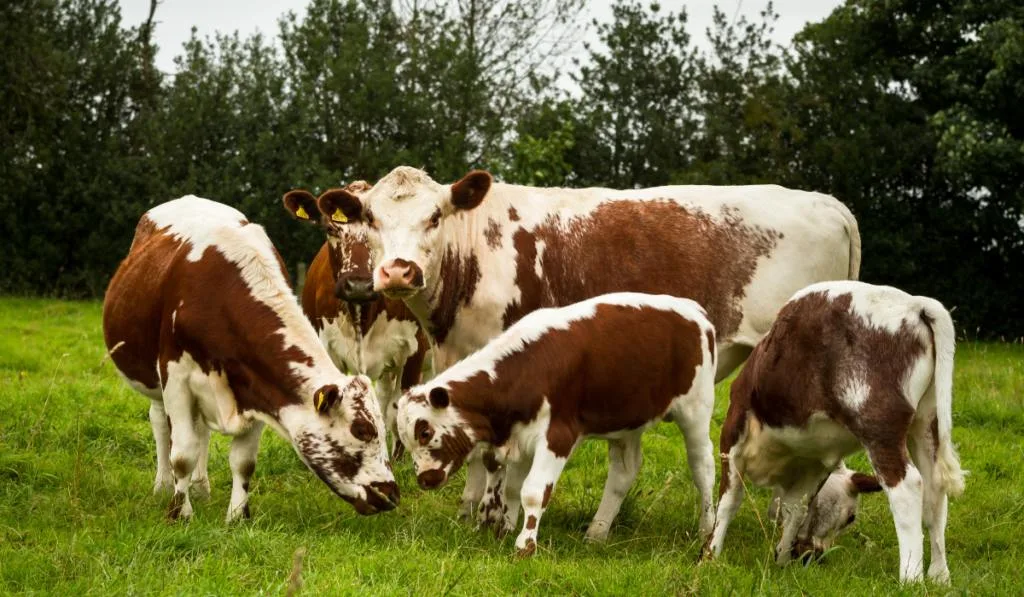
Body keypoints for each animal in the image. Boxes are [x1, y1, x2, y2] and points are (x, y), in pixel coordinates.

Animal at [102, 197, 399, 524]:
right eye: (362, 430)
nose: (391, 493)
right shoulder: (176, 377)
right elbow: (182, 453)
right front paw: (180, 513)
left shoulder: (259, 387)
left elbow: (243, 461)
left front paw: (237, 516)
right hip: (153, 380)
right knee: (160, 423)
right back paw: (164, 485)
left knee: (201, 430)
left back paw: (201, 487)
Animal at [307, 164, 860, 524]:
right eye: (370, 220)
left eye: (436, 216)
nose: (398, 272)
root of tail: (826, 201)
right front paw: (469, 509)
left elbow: (494, 457)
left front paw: (491, 515)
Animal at [395, 294, 716, 561]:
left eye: (425, 432)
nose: (425, 479)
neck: (528, 369)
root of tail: (695, 312)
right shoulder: (518, 437)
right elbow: (512, 489)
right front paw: (505, 530)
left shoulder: (557, 436)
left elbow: (534, 491)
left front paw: (525, 546)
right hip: (627, 421)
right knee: (624, 471)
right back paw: (596, 533)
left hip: (696, 411)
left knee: (703, 468)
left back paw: (707, 534)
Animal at [708, 280, 962, 585]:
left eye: (850, 517)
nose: (811, 555)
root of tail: (914, 305)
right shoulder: (813, 463)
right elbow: (794, 508)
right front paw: (781, 560)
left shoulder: (733, 433)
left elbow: (729, 499)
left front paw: (710, 555)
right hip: (926, 423)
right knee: (935, 491)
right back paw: (939, 575)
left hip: (879, 426)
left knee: (908, 488)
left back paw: (910, 578)